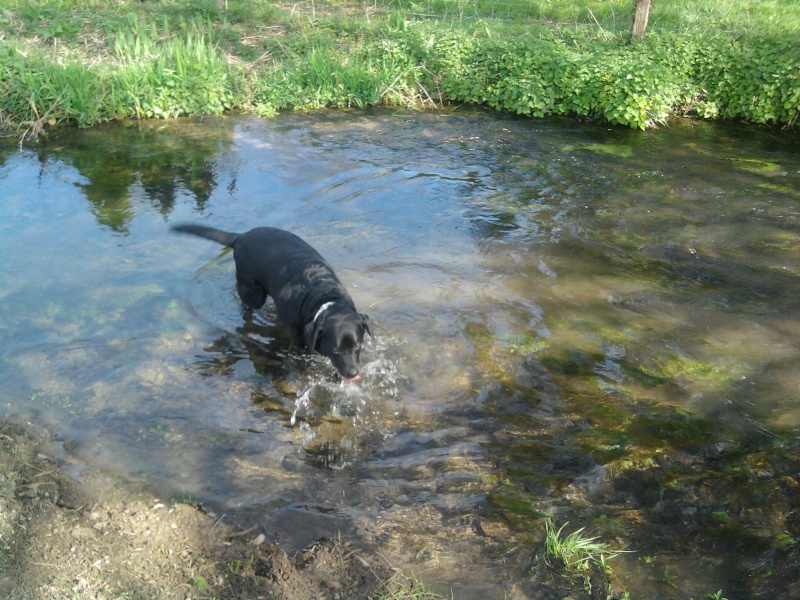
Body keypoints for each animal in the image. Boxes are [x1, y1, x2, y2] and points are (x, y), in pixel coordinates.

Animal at [172, 223, 372, 382]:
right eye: (336, 350)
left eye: (358, 346)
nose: (353, 373)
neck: (324, 299)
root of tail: (240, 236)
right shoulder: (301, 340)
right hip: (254, 292)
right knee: (246, 306)